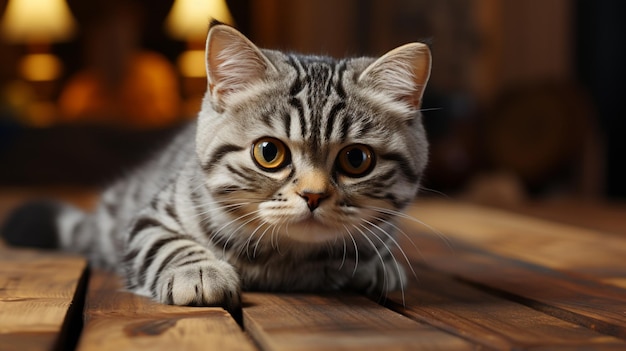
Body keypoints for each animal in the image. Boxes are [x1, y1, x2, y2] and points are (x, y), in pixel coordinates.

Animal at [1, 23, 428, 312]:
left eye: (356, 160)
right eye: (269, 153)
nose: (313, 195)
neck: (287, 261)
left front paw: (376, 264)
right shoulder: (150, 219)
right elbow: (168, 243)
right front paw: (200, 273)